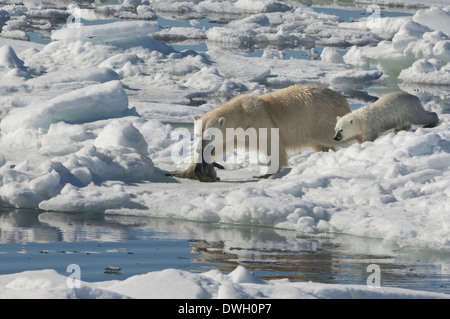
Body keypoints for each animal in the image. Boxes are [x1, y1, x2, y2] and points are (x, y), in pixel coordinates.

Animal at [168, 84, 352, 181]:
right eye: (198, 134)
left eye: (209, 136)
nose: (201, 148)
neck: (241, 115)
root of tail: (342, 99)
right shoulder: (232, 136)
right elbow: (220, 147)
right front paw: (182, 171)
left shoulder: (260, 122)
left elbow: (273, 145)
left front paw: (267, 174)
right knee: (321, 145)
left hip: (323, 121)